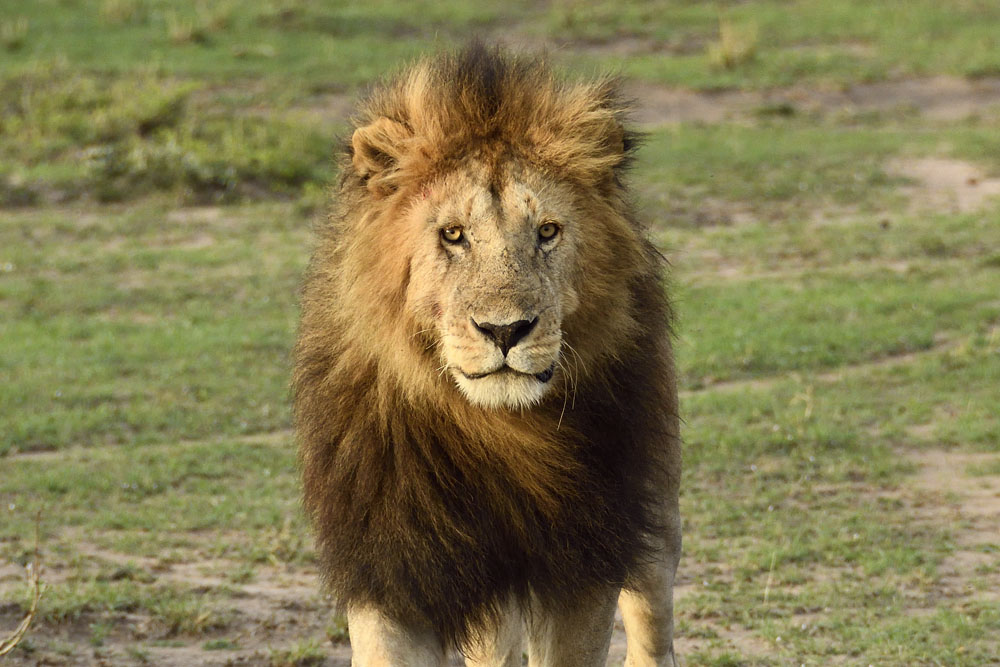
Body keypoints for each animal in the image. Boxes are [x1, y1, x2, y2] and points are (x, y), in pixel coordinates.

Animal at [293, 44, 682, 666]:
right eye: (453, 235)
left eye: (547, 231)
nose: (505, 331)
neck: (495, 431)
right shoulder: (392, 570)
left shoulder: (582, 564)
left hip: (655, 509)